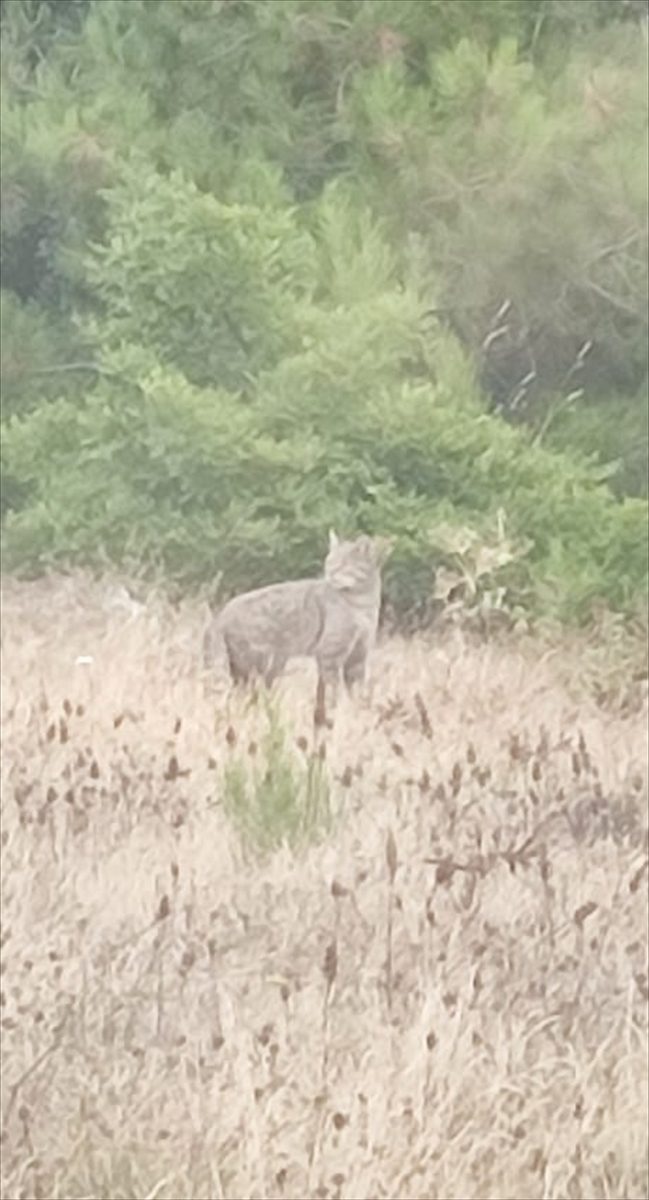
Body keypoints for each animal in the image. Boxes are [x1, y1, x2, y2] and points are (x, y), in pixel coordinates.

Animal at [205, 532, 391, 700]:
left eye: (344, 564)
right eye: (329, 562)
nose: (329, 574)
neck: (363, 603)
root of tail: (223, 613)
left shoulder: (358, 656)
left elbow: (356, 690)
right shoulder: (329, 654)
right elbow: (334, 689)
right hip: (260, 663)